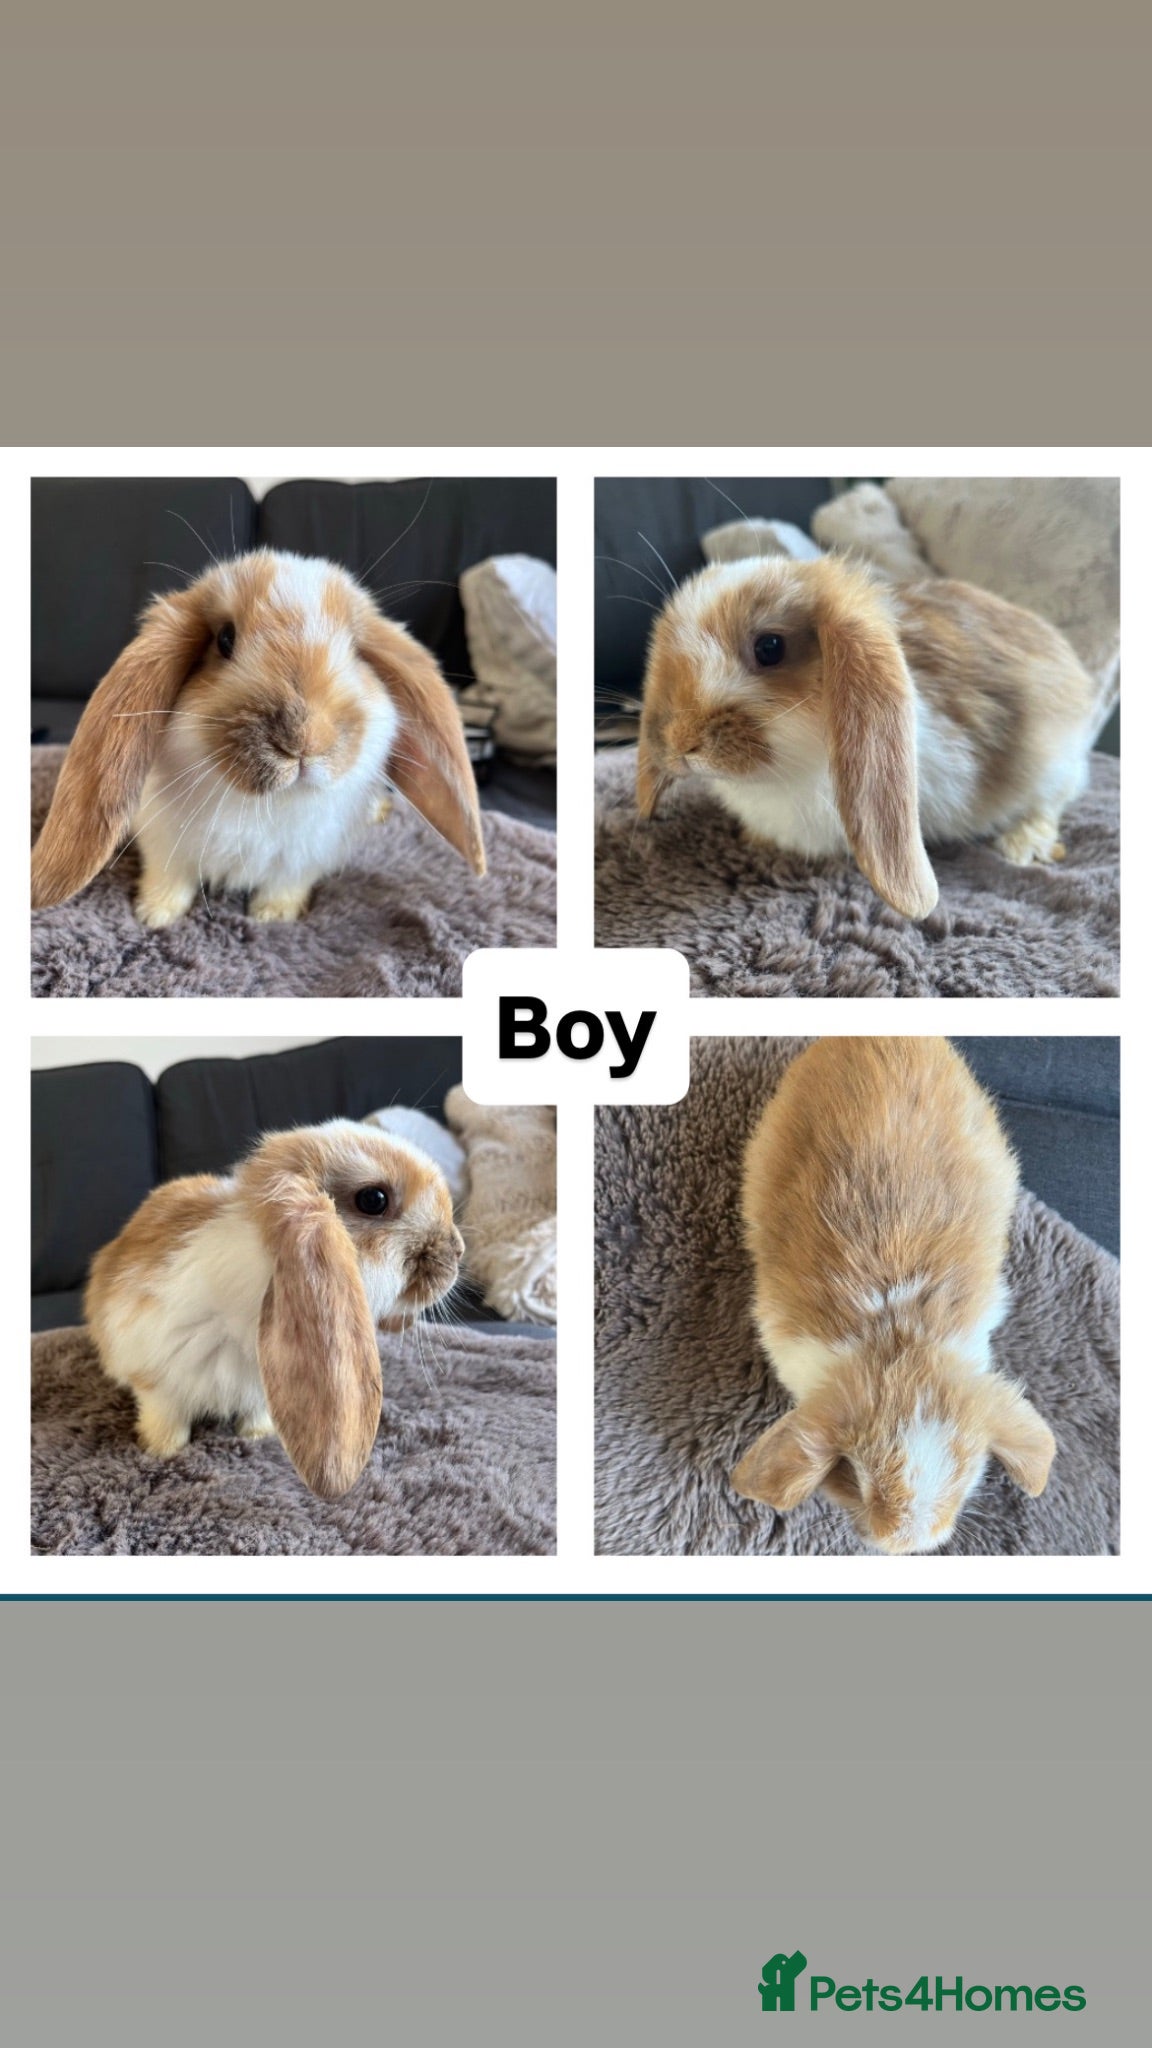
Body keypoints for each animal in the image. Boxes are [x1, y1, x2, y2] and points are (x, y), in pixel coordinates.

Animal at [31, 549, 486, 927]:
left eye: (356, 650)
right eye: (225, 639)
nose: (304, 739)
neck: (266, 805)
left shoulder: (305, 857)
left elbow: (287, 884)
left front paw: (274, 916)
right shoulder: (165, 843)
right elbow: (170, 878)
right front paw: (154, 915)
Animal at [85, 1119, 465, 1500]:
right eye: (373, 1200)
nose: (458, 1249)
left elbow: (254, 1411)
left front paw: (257, 1435)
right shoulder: (154, 1376)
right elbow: (164, 1415)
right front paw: (162, 1450)